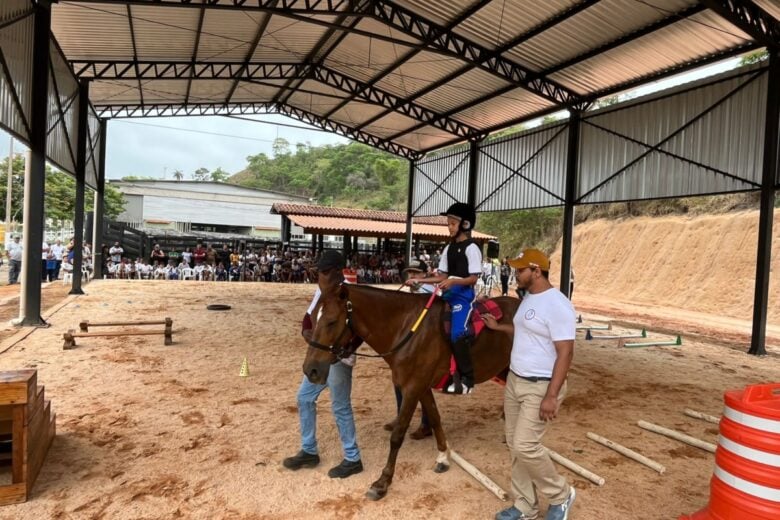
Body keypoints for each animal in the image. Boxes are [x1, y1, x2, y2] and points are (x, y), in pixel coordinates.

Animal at [304, 276, 516, 500]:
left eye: (331, 321)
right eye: (313, 318)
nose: (311, 370)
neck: (406, 330)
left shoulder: (413, 388)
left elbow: (397, 435)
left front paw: (383, 482)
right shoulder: (421, 387)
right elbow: (434, 418)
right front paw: (443, 457)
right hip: (505, 369)